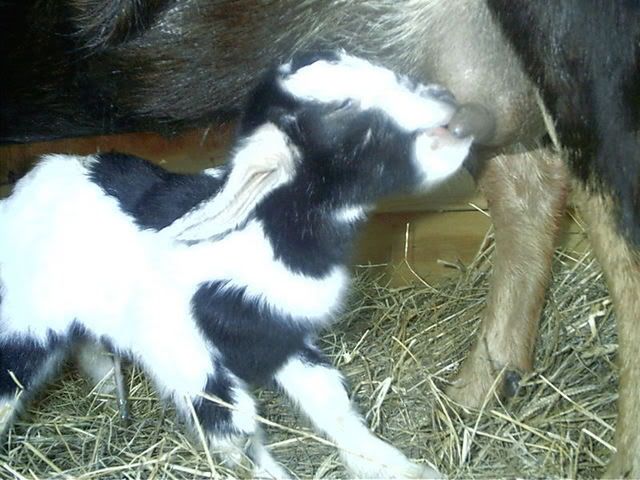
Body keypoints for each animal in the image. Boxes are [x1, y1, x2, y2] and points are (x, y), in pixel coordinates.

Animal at [0, 52, 471, 479]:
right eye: (341, 111)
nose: (452, 107)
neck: (262, 237)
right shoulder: (183, 351)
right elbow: (235, 432)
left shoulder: (275, 334)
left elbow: (329, 399)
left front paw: (398, 468)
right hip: (25, 316)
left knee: (89, 348)